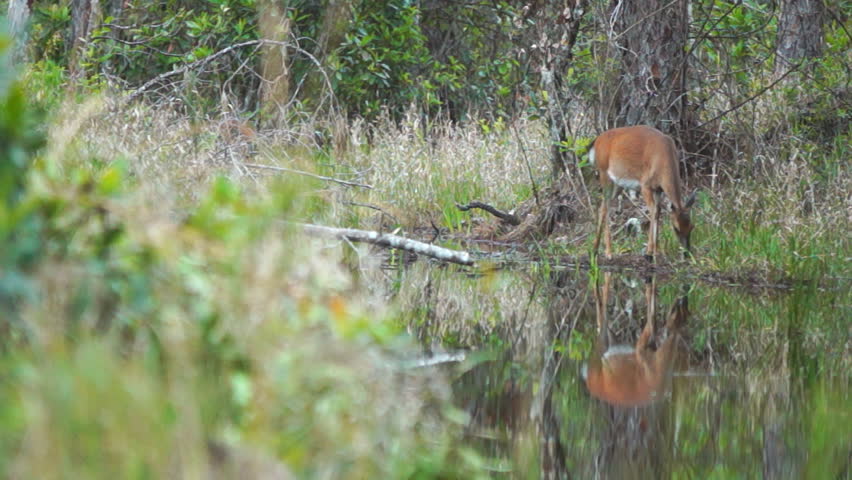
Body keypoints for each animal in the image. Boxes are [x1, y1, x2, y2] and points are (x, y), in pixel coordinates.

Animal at [588, 125, 696, 262]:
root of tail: (596, 141)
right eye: (675, 228)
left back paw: (595, 250)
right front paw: (649, 253)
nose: (687, 253)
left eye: (692, 226)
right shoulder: (645, 185)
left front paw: (656, 251)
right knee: (605, 208)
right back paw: (608, 253)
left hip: (618, 184)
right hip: (604, 174)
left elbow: (658, 212)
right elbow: (653, 210)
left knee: (602, 207)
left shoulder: (658, 189)